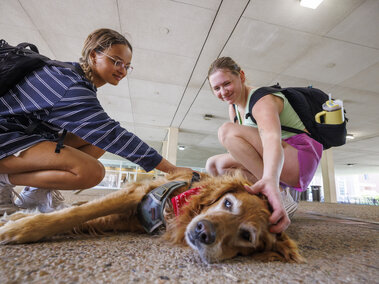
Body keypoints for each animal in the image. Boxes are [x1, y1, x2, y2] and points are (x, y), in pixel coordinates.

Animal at [0, 171, 306, 264]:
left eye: (246, 236)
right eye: (228, 203)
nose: (203, 231)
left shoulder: (123, 218)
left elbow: (80, 220)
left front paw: (19, 224)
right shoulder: (133, 195)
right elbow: (74, 213)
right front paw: (20, 228)